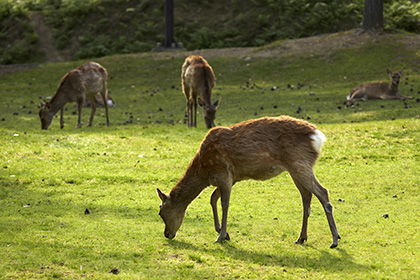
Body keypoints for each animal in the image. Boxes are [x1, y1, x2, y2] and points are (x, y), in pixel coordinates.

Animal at [158, 116, 342, 249]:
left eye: (160, 212)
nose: (167, 234)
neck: (203, 170)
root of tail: (318, 136)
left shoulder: (223, 173)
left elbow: (224, 203)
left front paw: (220, 236)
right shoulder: (232, 178)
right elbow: (213, 198)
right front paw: (223, 232)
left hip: (299, 163)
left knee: (323, 192)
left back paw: (334, 240)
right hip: (295, 169)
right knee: (306, 196)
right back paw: (301, 237)